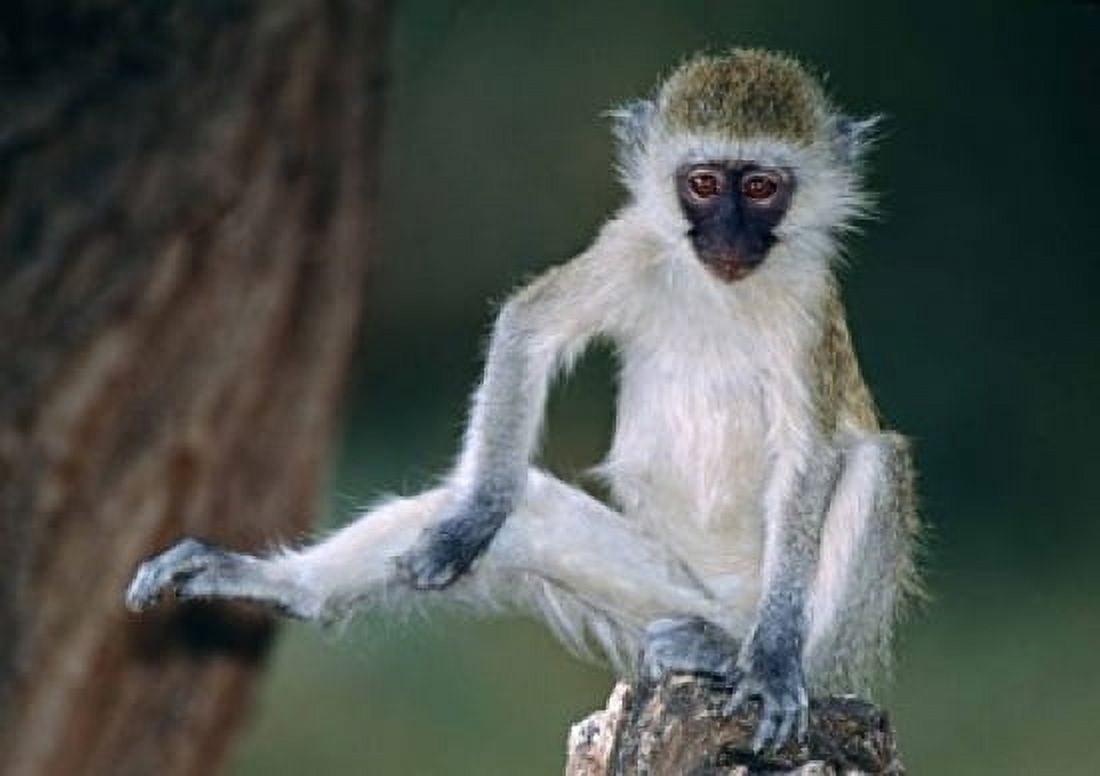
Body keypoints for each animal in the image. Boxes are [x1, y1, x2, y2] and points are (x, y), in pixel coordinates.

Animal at [126, 49, 920, 753]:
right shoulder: (628, 244)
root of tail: (725, 609)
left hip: (792, 617)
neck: (721, 290)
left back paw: (759, 658)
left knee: (880, 464)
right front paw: (471, 520)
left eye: (759, 189)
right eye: (701, 183)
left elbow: (811, 451)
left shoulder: (808, 307)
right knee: (529, 510)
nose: (729, 234)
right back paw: (287, 585)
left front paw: (780, 658)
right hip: (665, 592)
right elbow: (528, 330)